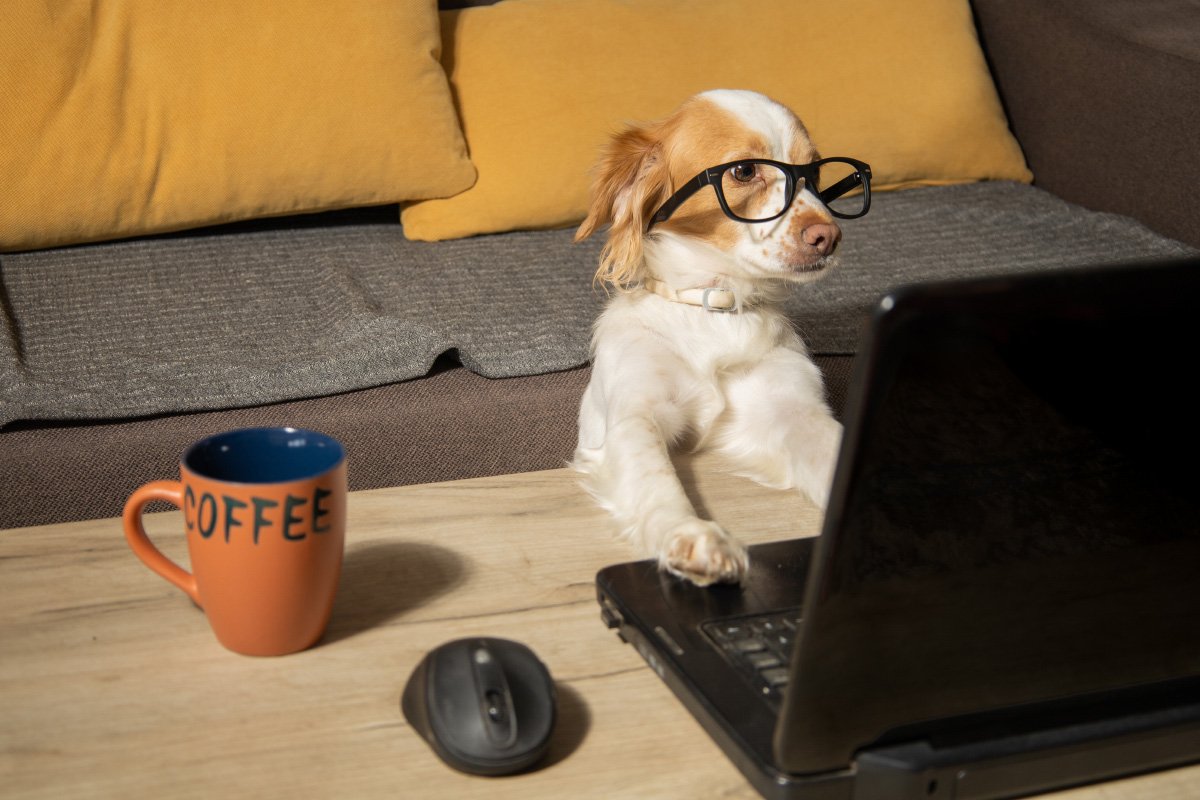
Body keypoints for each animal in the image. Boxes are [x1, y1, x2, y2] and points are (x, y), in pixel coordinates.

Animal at [571, 89, 873, 587]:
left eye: (814, 173)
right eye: (744, 171)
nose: (828, 236)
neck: (715, 311)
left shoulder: (792, 408)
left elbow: (832, 450)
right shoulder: (633, 417)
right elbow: (657, 478)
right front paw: (692, 535)